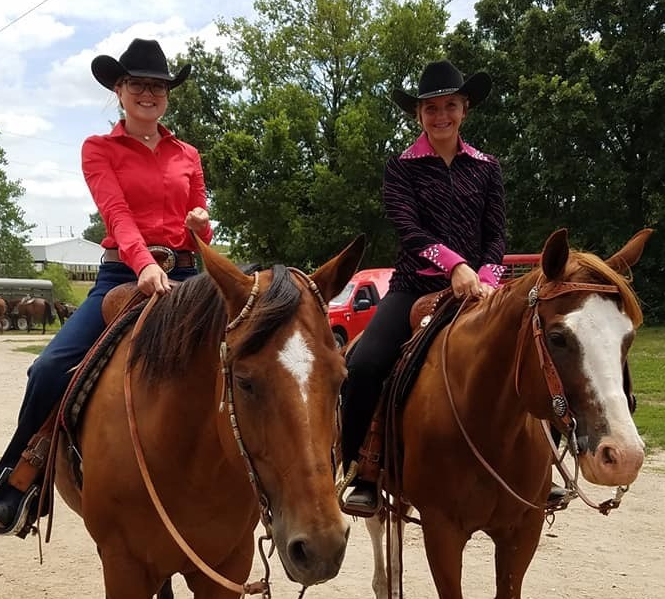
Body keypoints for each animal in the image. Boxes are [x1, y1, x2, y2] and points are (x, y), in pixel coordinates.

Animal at [364, 227, 648, 596]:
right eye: (558, 337)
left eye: (628, 337)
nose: (623, 456)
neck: (490, 427)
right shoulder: (442, 532)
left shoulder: (522, 532)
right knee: (379, 525)